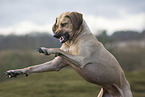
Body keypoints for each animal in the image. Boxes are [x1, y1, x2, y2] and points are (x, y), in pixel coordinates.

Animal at [5, 11, 133, 97]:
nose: (55, 35)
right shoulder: (56, 64)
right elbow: (33, 67)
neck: (74, 40)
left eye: (64, 24)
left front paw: (47, 49)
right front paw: (16, 71)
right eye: (56, 25)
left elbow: (60, 50)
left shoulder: (80, 60)